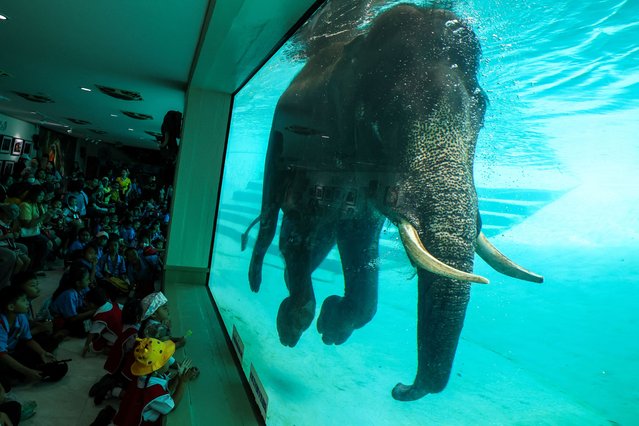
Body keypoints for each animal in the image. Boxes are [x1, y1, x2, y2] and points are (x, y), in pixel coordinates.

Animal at [242, 4, 544, 402]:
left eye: (481, 117)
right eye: (381, 123)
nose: (400, 388)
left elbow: (359, 237)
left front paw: (332, 326)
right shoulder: (322, 144)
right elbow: (310, 225)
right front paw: (306, 322)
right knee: (285, 229)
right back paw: (280, 309)